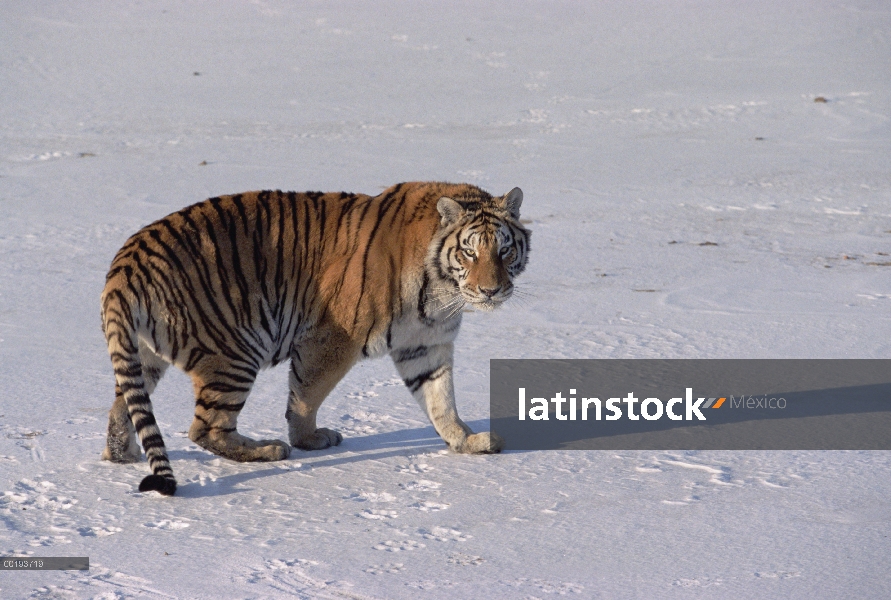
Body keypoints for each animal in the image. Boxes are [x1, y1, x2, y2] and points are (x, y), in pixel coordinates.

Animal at [99, 180, 528, 494]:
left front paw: (466, 441)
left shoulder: (425, 345)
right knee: (205, 427)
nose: (491, 290)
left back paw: (122, 455)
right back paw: (270, 449)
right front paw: (308, 439)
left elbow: (441, 400)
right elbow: (307, 396)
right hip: (234, 352)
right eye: (470, 253)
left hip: (144, 356)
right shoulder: (334, 338)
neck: (441, 292)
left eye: (504, 251)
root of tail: (126, 261)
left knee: (124, 408)